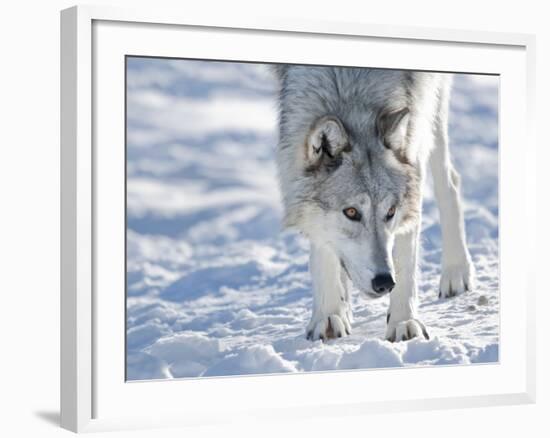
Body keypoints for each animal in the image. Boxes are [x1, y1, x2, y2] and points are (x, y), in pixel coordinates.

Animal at [274, 65, 476, 342]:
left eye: (390, 211)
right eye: (351, 212)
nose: (384, 283)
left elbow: (405, 254)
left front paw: (404, 322)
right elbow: (322, 246)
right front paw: (328, 316)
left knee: (450, 182)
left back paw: (456, 272)